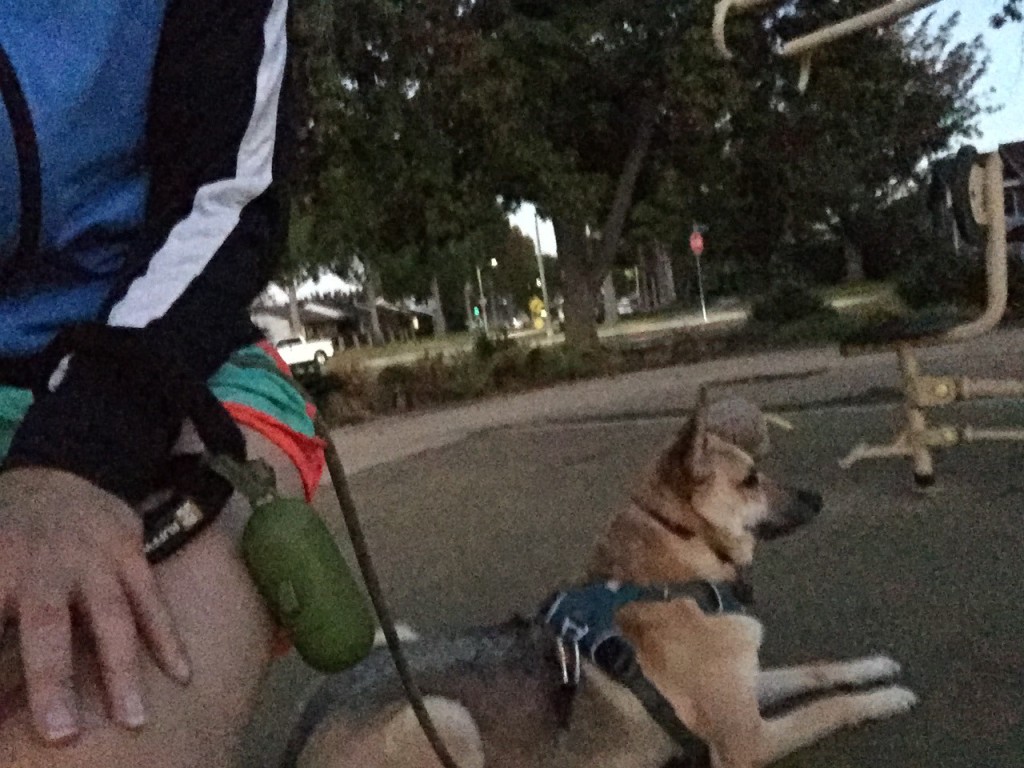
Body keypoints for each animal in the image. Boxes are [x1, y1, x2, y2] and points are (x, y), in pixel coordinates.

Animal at [282, 403, 921, 768]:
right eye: (750, 480)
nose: (818, 497)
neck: (673, 576)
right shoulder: (745, 741)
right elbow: (829, 708)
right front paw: (885, 698)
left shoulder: (743, 689)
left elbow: (817, 671)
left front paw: (873, 666)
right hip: (444, 718)